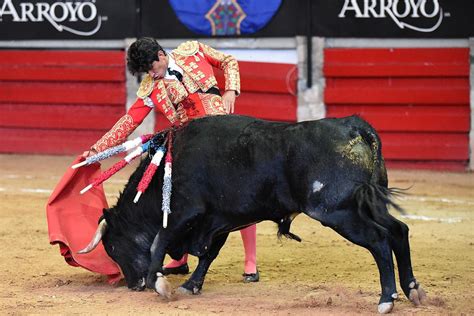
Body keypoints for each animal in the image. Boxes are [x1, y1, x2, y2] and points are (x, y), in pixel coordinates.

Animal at [80, 115, 426, 312]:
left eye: (113, 247)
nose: (133, 285)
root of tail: (355, 125)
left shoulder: (185, 211)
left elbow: (159, 241)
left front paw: (159, 283)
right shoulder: (219, 219)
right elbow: (208, 254)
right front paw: (190, 285)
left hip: (338, 211)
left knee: (379, 240)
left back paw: (386, 298)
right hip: (369, 203)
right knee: (399, 231)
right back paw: (412, 290)